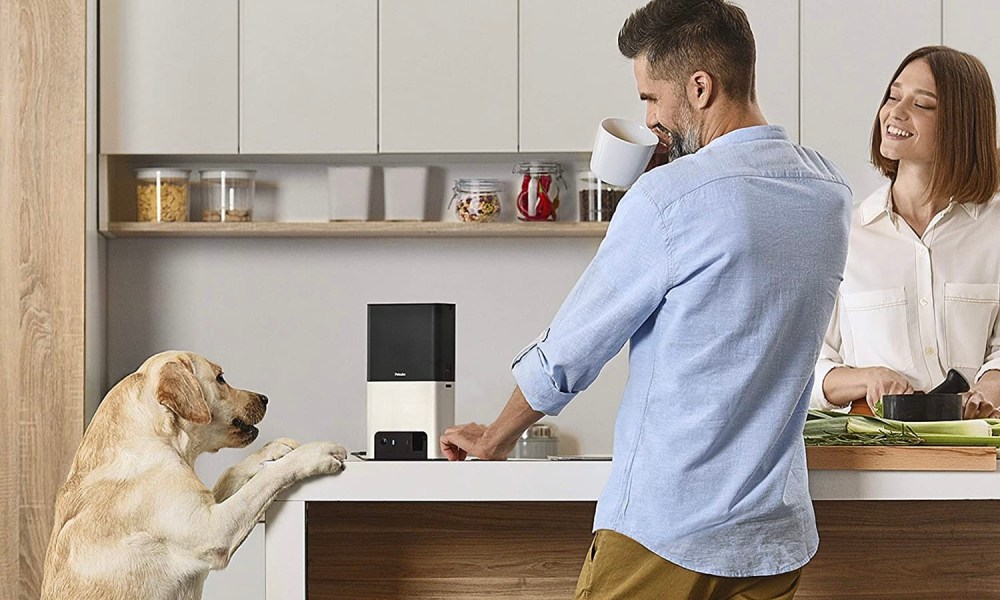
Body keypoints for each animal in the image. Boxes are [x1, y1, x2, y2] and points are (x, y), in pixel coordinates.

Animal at [41, 352, 348, 600]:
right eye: (221, 378)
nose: (265, 399)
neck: (157, 437)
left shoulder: (208, 504)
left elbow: (232, 471)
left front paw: (276, 448)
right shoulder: (212, 531)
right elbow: (267, 479)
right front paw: (315, 452)